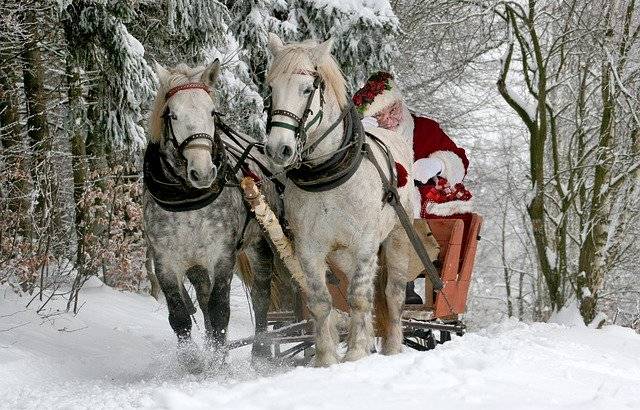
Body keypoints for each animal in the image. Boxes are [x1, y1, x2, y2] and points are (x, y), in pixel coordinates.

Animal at [264, 32, 416, 366]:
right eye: (271, 88)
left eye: (307, 89)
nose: (278, 149)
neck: (328, 176)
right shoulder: (309, 249)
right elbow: (321, 302)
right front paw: (326, 359)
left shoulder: (365, 244)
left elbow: (359, 298)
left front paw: (356, 353)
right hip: (342, 256)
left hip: (398, 238)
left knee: (392, 294)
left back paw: (392, 347)